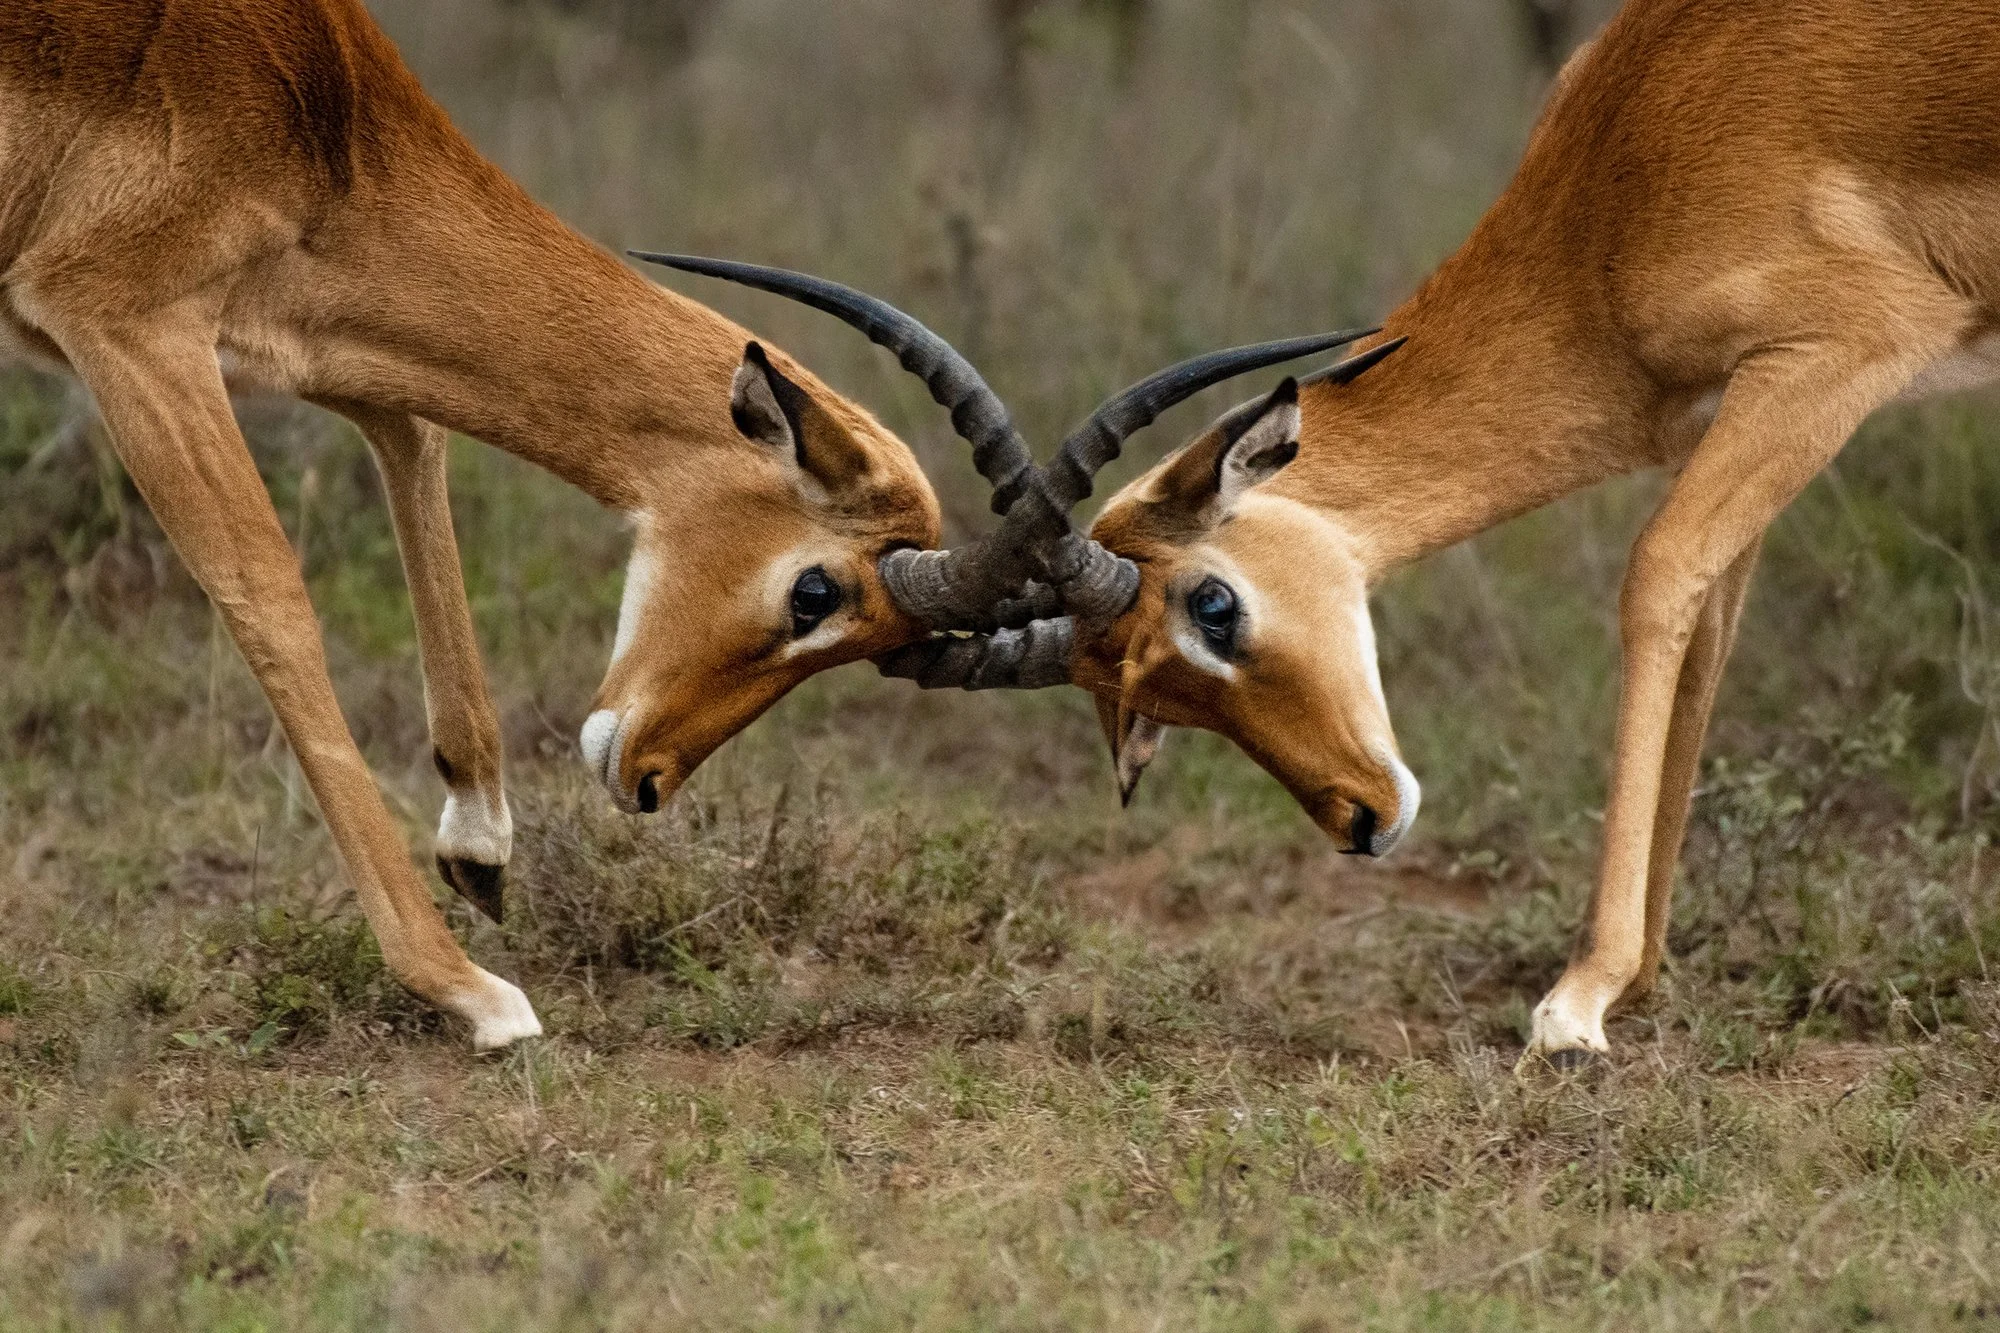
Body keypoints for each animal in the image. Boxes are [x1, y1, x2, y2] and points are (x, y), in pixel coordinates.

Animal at [863, 0, 2000, 1066]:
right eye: (1146, 700)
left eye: (1213, 603)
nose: (1361, 823)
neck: (1617, 187)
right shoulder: (1739, 406)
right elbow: (1707, 633)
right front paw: (1635, 980)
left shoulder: (1840, 350)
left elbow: (1655, 576)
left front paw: (1575, 1003)